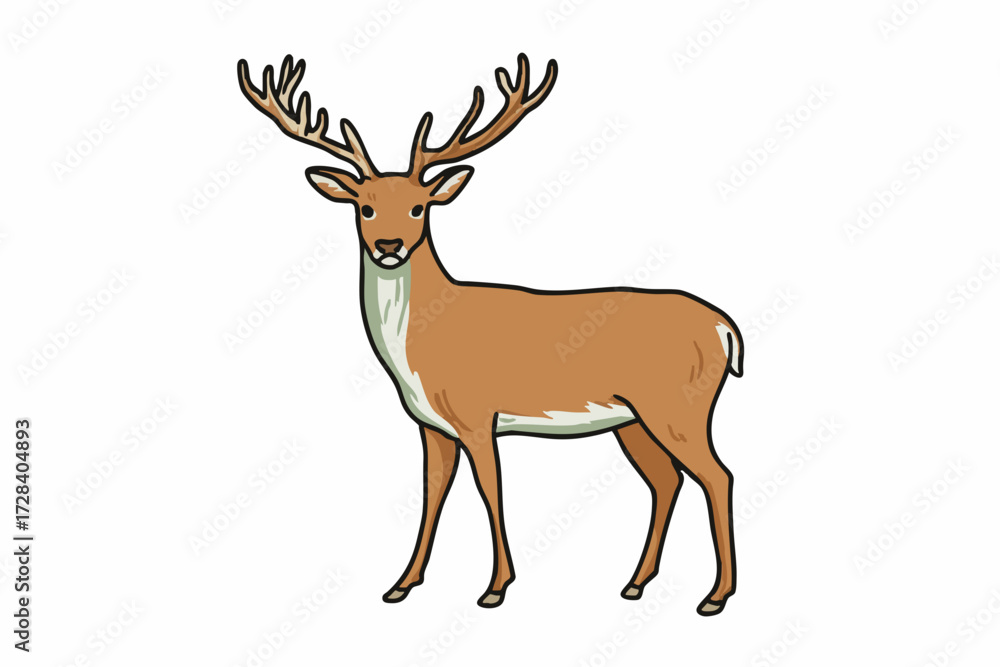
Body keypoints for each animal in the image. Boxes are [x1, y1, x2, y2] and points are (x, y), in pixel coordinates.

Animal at [237, 53, 744, 616]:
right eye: (363, 207)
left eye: (419, 207)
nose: (389, 246)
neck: (419, 348)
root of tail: (725, 328)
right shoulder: (432, 425)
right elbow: (432, 493)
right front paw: (402, 584)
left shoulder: (478, 414)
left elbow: (490, 491)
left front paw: (496, 588)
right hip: (633, 419)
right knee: (666, 480)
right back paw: (635, 583)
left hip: (679, 405)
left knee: (718, 475)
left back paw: (716, 596)